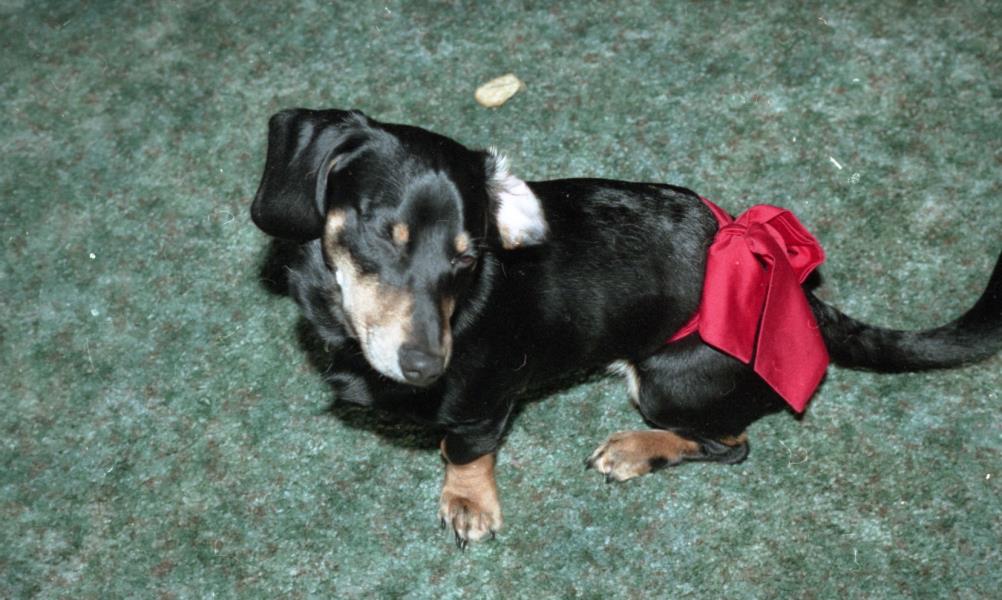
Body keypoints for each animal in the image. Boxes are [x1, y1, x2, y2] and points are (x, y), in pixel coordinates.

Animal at [251, 108, 1002, 548]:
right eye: (386, 235)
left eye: (468, 258)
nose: (425, 367)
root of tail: (796, 294)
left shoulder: (486, 403)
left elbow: (466, 452)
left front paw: (466, 501)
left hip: (669, 380)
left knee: (730, 444)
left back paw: (637, 450)